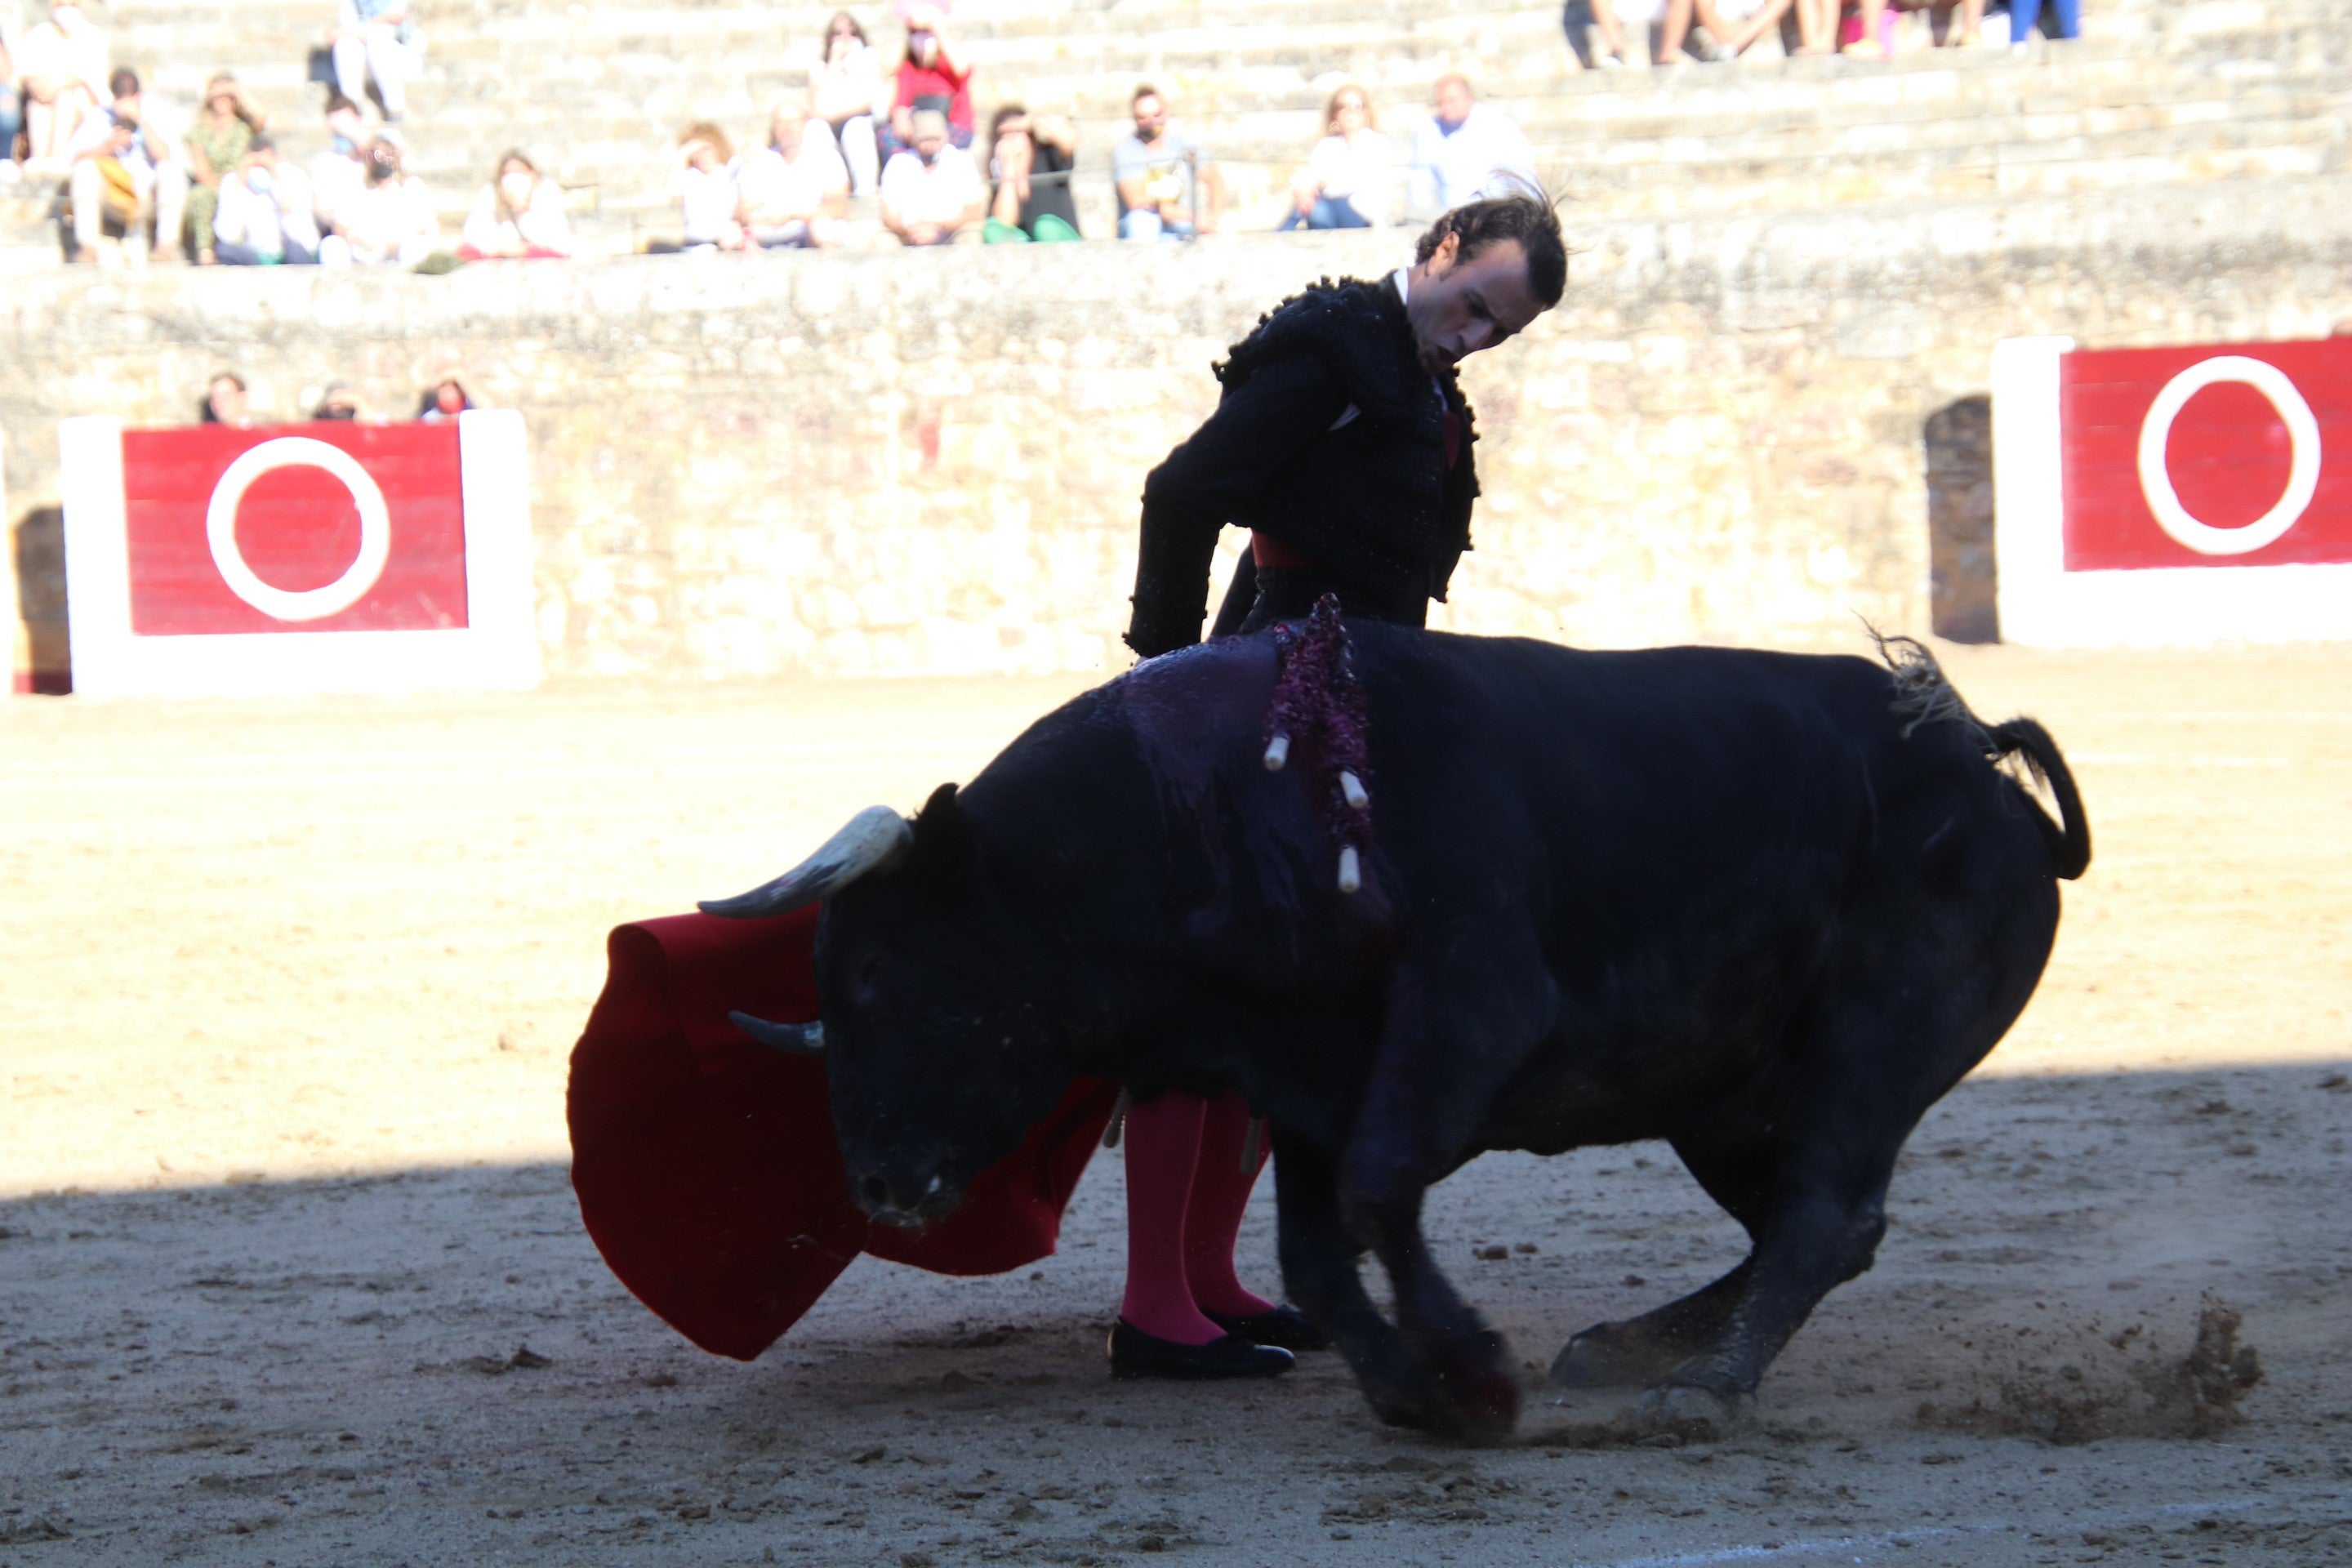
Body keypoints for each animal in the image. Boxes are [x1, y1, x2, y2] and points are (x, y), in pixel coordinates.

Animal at [706, 630, 2088, 1448]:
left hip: (1868, 1045)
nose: (879, 1183)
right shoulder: (1305, 1074)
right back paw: (1630, 1348)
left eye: (877, 970)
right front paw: (1410, 1388)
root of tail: (1978, 759)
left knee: (1817, 1219)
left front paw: (1472, 1375)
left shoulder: (1472, 1007)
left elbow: (1377, 1196)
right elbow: (1318, 1248)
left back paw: (1702, 1388)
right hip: (1726, 1096)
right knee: (1820, 1225)